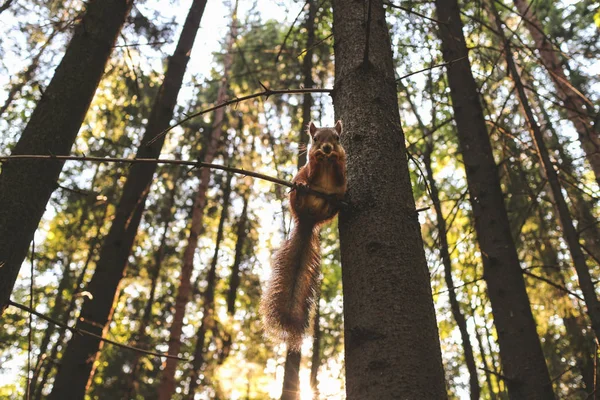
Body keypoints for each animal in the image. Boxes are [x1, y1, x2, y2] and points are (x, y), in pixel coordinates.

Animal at [258, 120, 346, 348]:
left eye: (337, 138)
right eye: (315, 139)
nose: (326, 149)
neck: (326, 164)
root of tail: (308, 220)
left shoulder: (342, 175)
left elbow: (340, 172)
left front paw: (335, 157)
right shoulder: (309, 169)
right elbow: (311, 169)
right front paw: (317, 158)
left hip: (329, 210)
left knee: (332, 205)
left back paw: (333, 201)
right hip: (297, 193)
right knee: (299, 193)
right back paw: (301, 188)